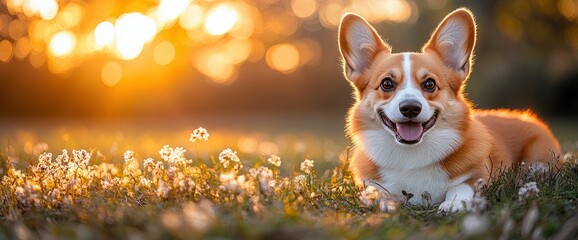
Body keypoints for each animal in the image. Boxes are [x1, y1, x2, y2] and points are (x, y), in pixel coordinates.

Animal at [336, 8, 560, 212]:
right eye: (387, 84)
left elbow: (462, 186)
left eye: (429, 84)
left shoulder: (477, 176)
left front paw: (453, 204)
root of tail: (529, 118)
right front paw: (385, 201)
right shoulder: (368, 184)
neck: (410, 157)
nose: (410, 108)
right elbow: (375, 192)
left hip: (537, 163)